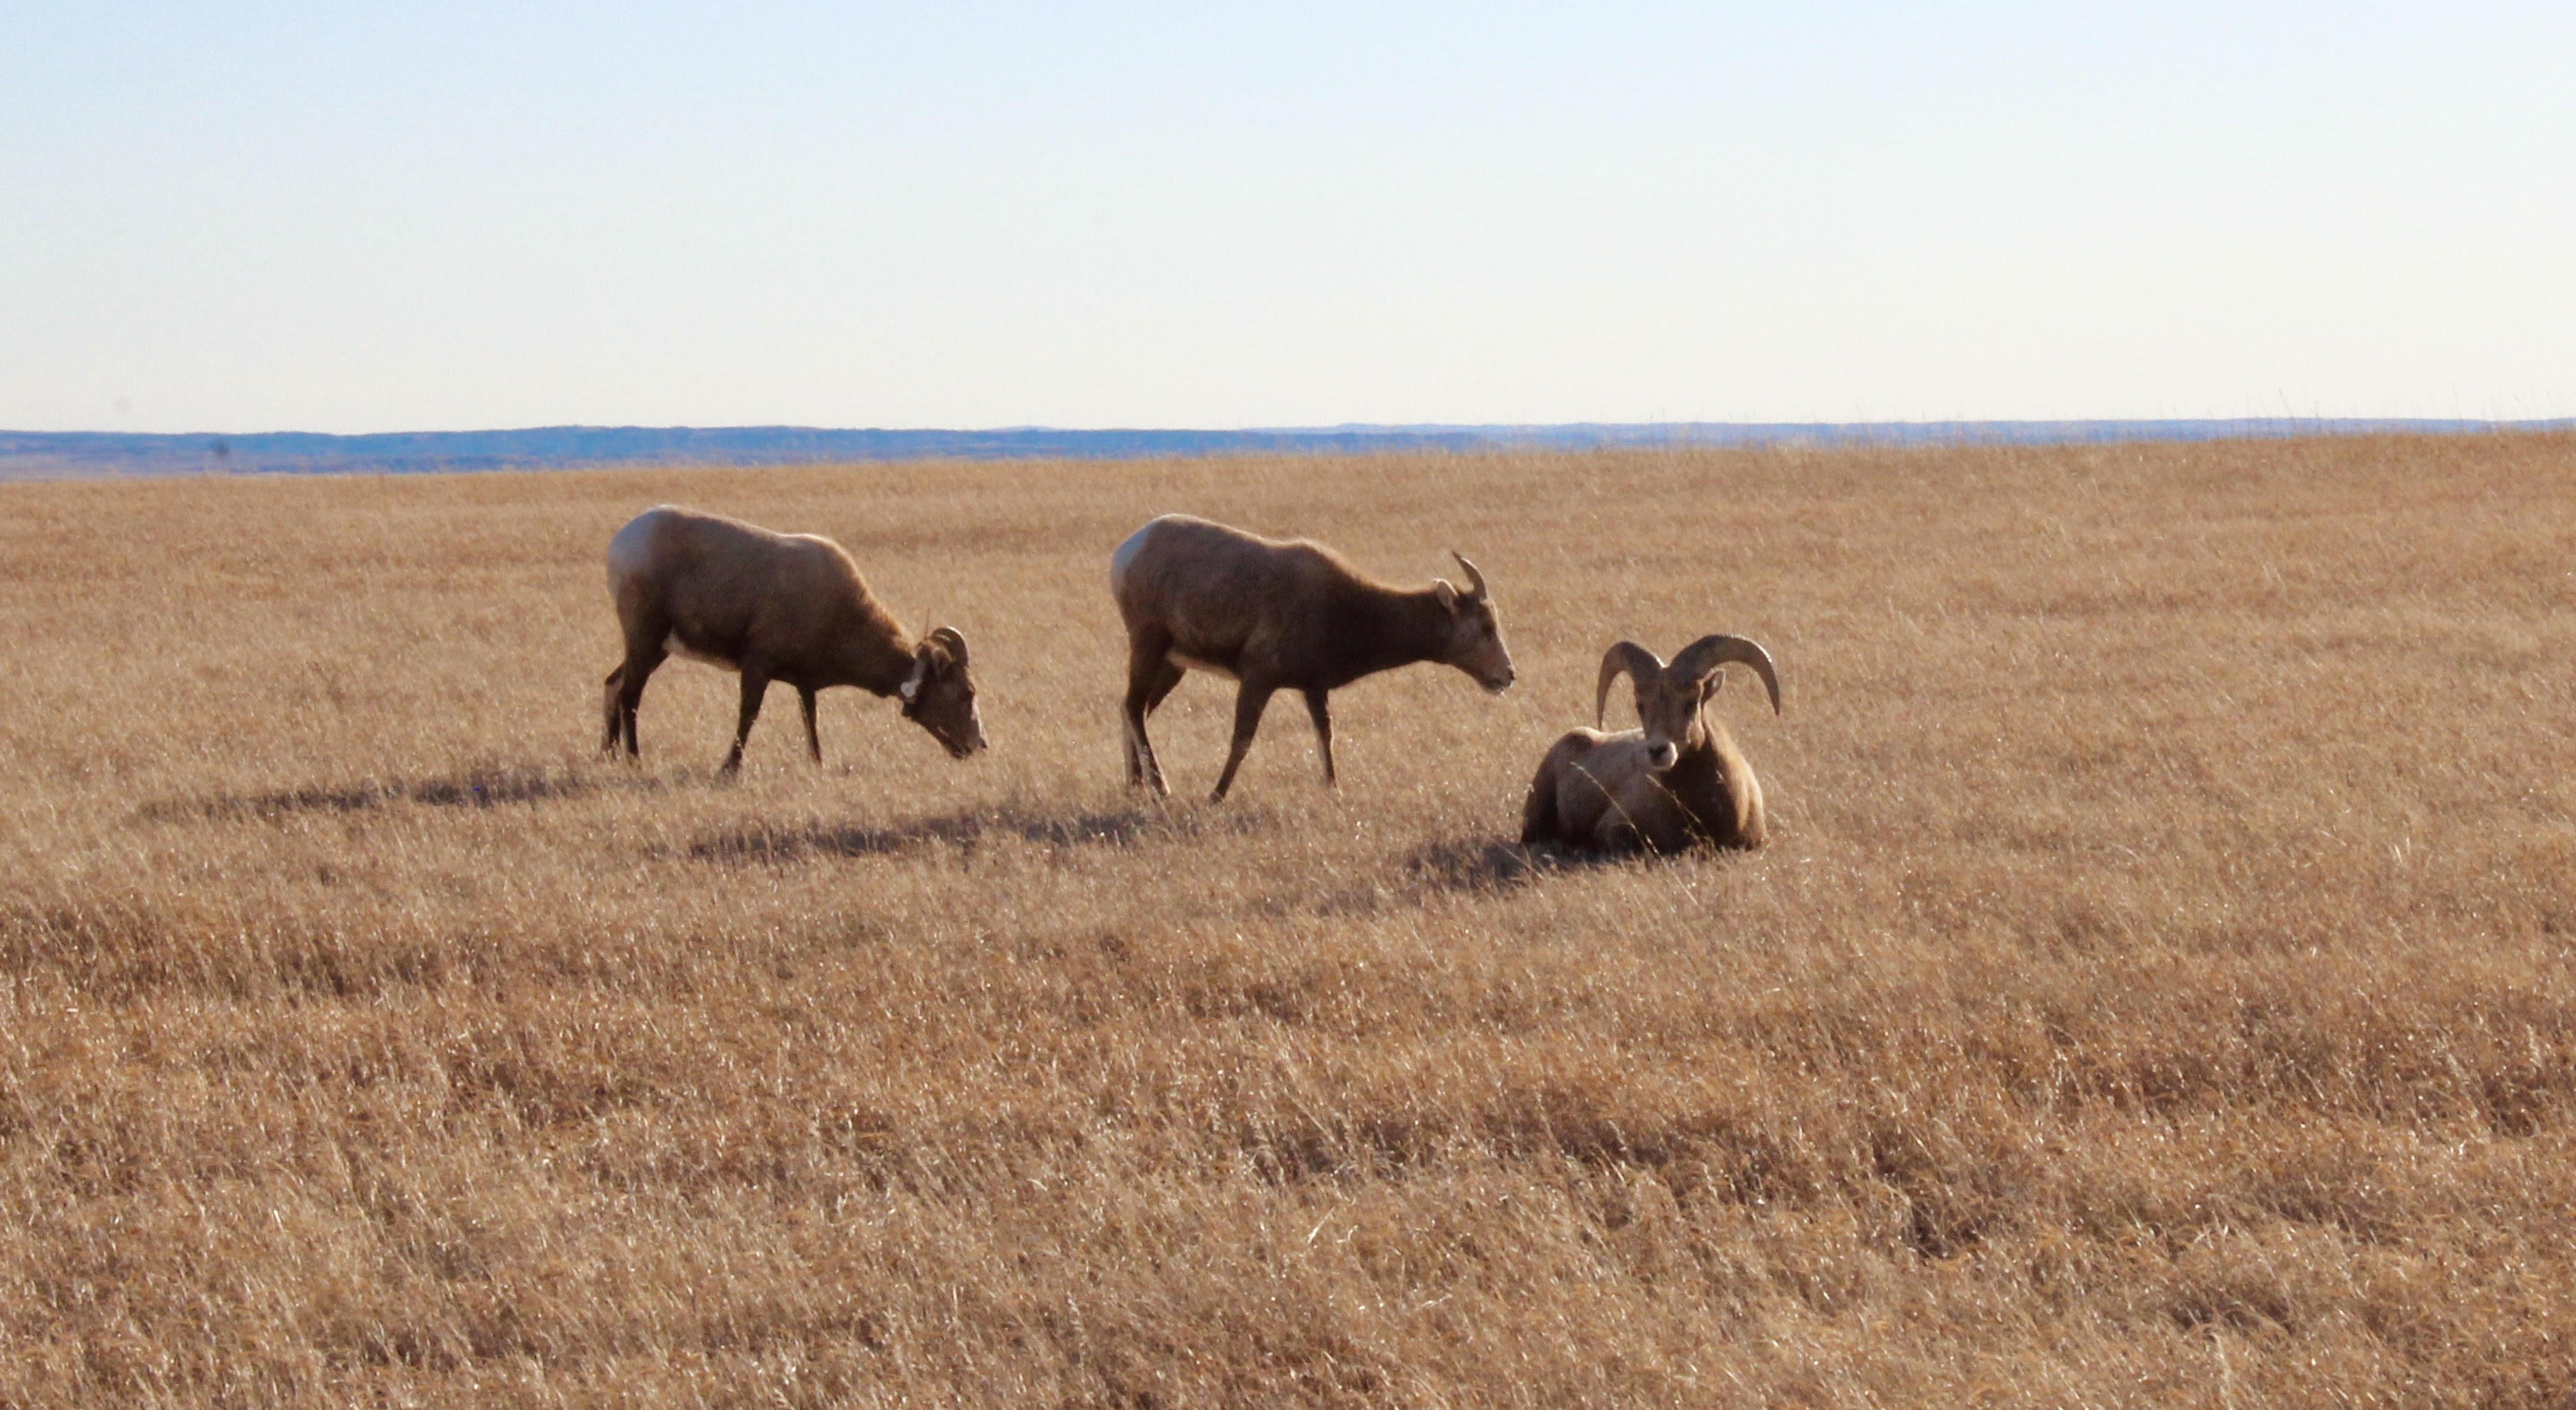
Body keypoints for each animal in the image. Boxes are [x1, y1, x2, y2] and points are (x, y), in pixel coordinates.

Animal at [602, 505, 983, 773]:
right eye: (966, 692)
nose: (979, 746)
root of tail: (625, 541)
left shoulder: (805, 685)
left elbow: (810, 719)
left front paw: (817, 764)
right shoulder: (757, 667)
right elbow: (749, 715)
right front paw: (729, 769)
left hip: (655, 650)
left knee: (613, 683)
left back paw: (608, 755)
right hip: (645, 641)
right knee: (630, 694)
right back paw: (635, 761)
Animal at [1107, 515, 1504, 804]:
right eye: (1486, 626)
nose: (1507, 676)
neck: (1342, 604)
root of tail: (1130, 550)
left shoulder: (1314, 689)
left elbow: (1325, 734)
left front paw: (1334, 792)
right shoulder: (1258, 681)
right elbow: (1242, 739)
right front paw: (1215, 797)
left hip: (1173, 665)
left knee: (1133, 708)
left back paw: (1137, 787)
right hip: (1149, 648)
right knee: (1133, 707)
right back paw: (1160, 788)